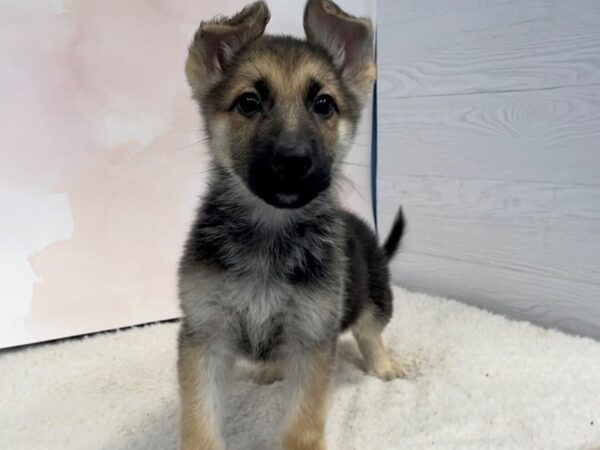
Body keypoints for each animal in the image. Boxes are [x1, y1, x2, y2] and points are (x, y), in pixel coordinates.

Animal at [176, 1, 406, 448]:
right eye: (249, 103)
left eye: (324, 105)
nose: (293, 160)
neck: (269, 231)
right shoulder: (204, 336)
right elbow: (200, 424)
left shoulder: (311, 339)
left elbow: (302, 427)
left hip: (375, 298)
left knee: (371, 333)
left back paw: (385, 366)